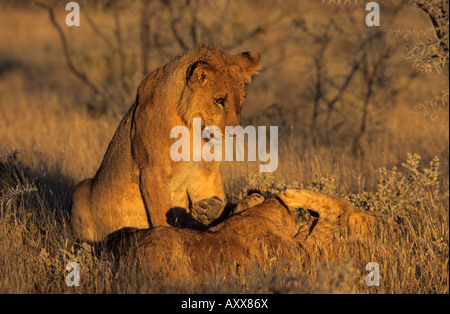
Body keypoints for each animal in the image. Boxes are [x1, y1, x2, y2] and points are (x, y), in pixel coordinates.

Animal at [70, 46, 260, 242]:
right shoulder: (152, 171)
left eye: (242, 100)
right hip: (81, 188)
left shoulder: (205, 170)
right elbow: (161, 213)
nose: (234, 133)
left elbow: (210, 194)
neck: (194, 127)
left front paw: (211, 210)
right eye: (219, 100)